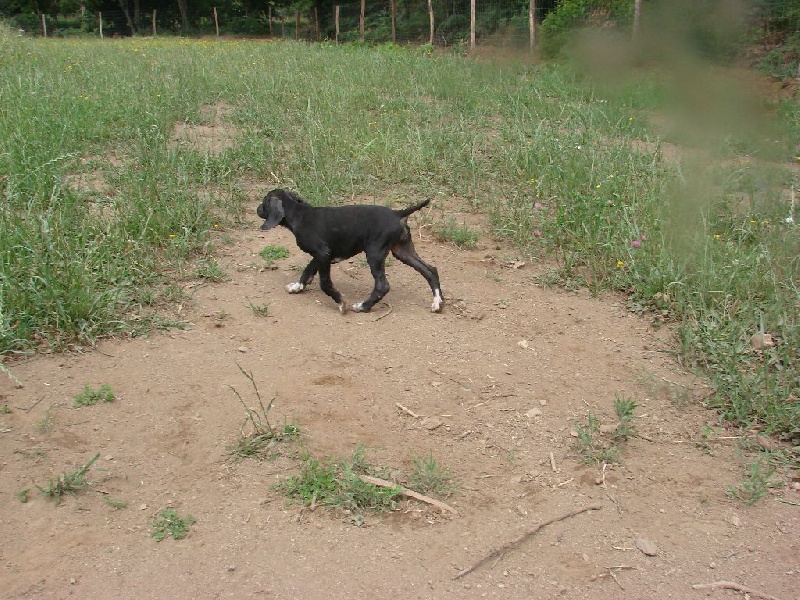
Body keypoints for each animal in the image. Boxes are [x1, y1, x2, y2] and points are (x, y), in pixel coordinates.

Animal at [257, 189, 443, 314]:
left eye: (264, 202)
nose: (257, 209)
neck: (299, 214)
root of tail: (398, 214)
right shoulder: (321, 256)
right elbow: (307, 271)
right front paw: (297, 287)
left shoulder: (323, 254)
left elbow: (324, 283)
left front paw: (340, 302)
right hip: (402, 251)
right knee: (430, 270)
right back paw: (437, 302)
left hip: (374, 253)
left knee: (382, 286)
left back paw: (362, 306)